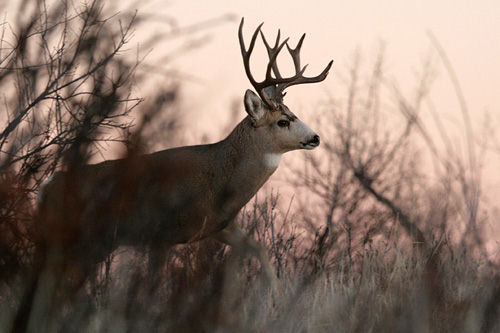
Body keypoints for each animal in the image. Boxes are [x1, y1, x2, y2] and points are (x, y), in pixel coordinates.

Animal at [25, 17, 334, 306]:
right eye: (283, 121)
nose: (315, 137)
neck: (220, 183)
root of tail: (46, 187)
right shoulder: (160, 233)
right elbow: (153, 285)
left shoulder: (219, 225)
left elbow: (258, 247)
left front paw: (279, 299)